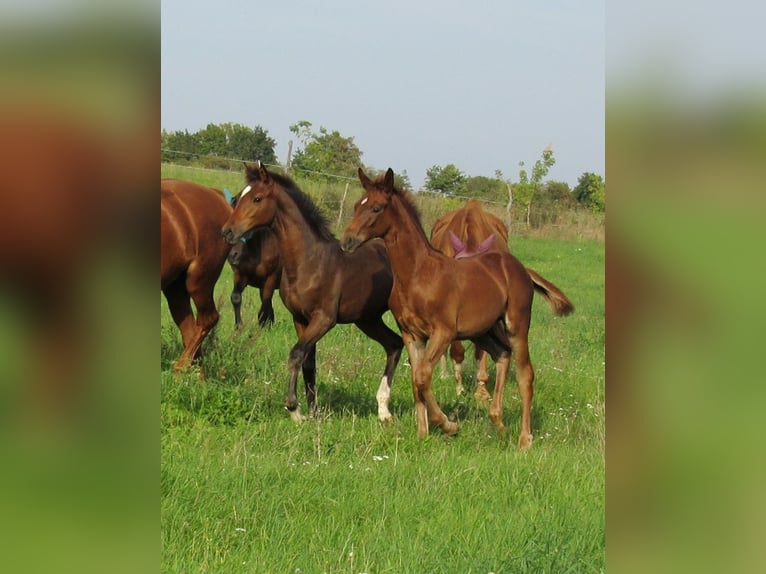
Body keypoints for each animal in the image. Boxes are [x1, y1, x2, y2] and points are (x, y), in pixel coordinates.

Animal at [160, 178, 232, 372]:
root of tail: (217, 195)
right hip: (175, 287)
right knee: (191, 330)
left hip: (199, 280)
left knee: (208, 319)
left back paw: (179, 370)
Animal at [220, 162, 404, 424]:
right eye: (237, 197)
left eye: (257, 198)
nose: (227, 231)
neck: (309, 261)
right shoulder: (300, 318)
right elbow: (309, 363)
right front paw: (313, 411)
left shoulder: (324, 319)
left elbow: (296, 354)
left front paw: (294, 409)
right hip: (368, 319)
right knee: (395, 345)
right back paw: (384, 410)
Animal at [344, 168, 576, 450]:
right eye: (357, 205)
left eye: (376, 208)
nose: (347, 240)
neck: (417, 274)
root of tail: (520, 267)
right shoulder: (412, 334)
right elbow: (416, 380)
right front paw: (422, 433)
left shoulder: (443, 332)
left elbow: (423, 376)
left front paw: (448, 425)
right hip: (483, 330)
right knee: (502, 354)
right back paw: (498, 422)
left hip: (517, 325)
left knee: (525, 374)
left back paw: (524, 439)